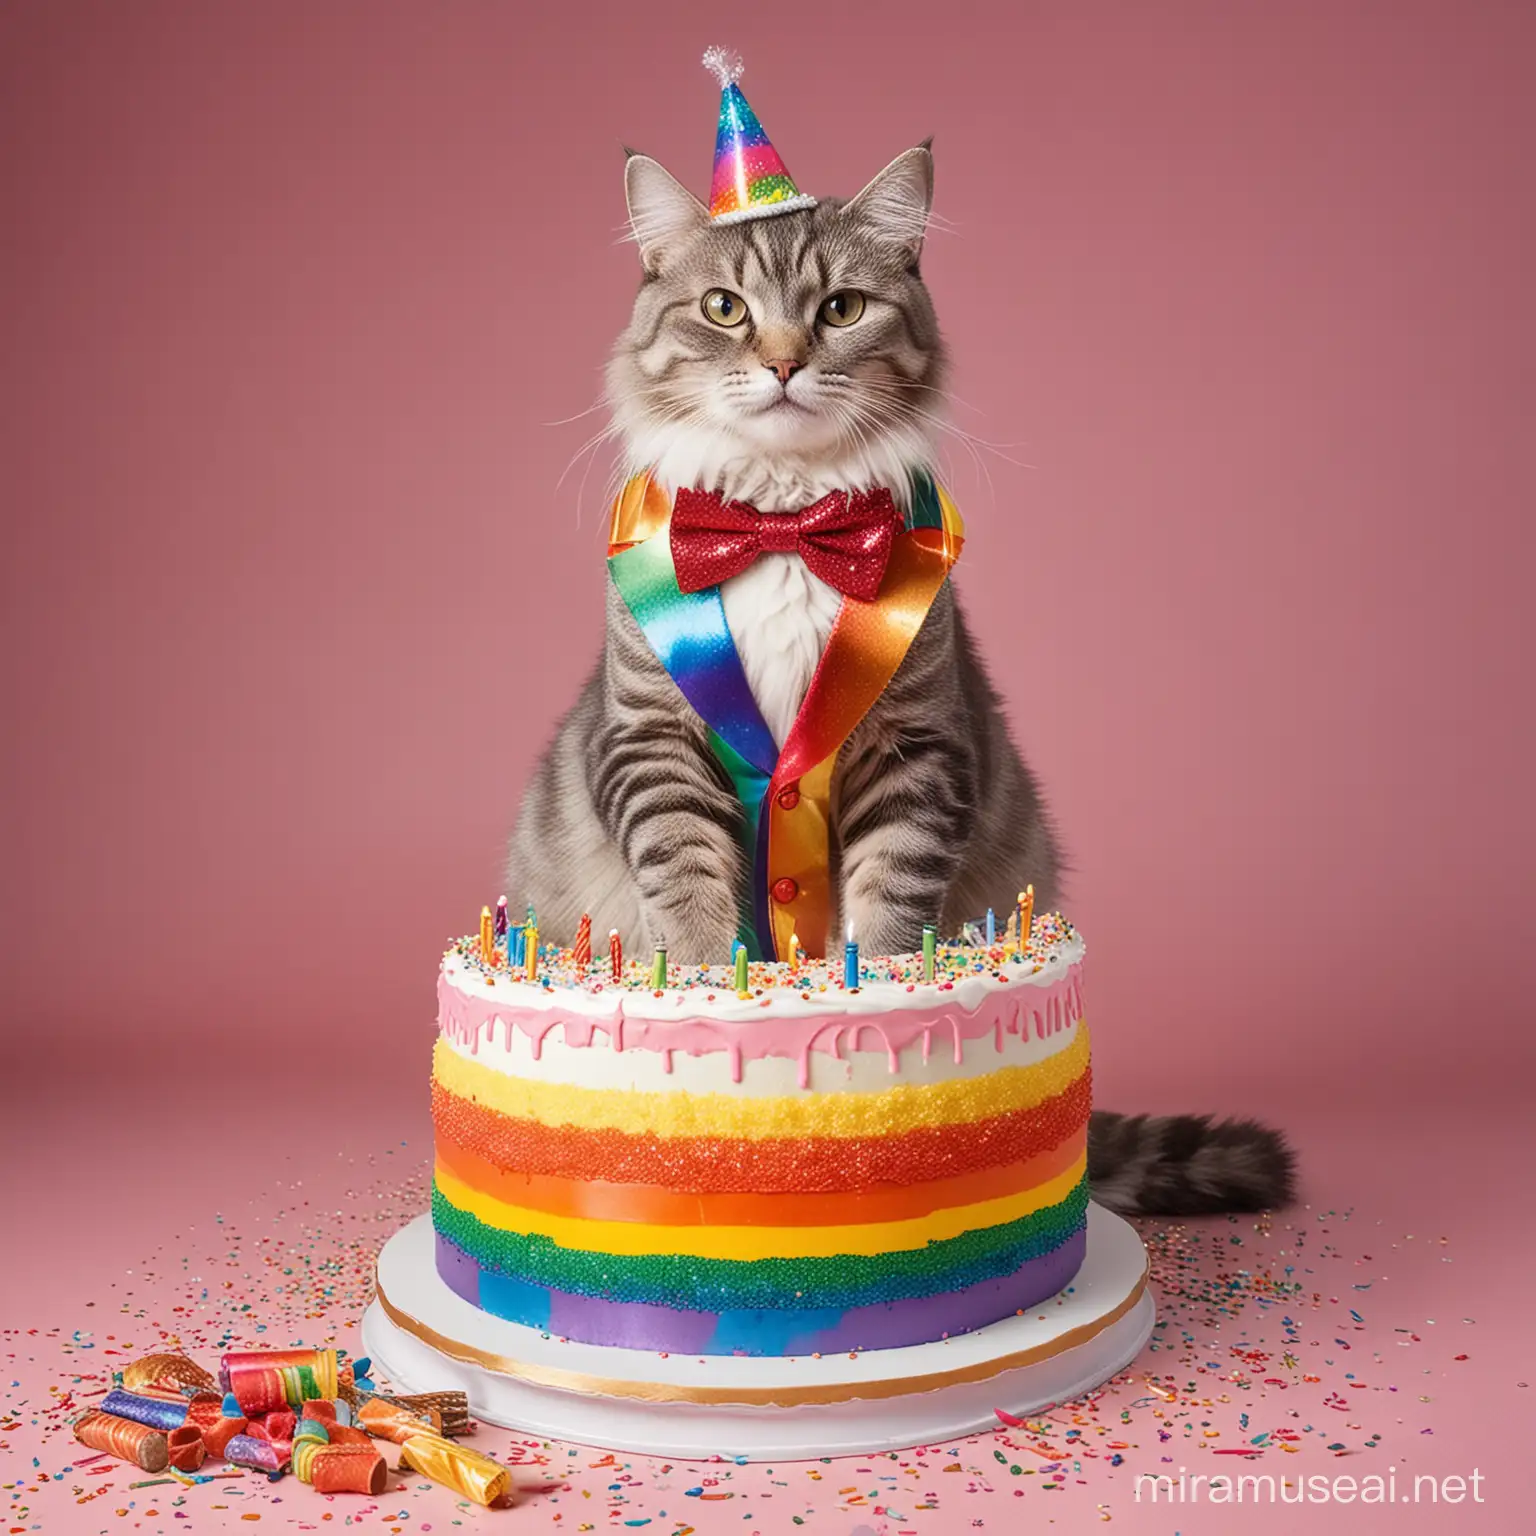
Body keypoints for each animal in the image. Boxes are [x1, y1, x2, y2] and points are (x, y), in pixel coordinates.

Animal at [506, 141, 1296, 1210]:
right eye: (723, 308)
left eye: (841, 308)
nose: (783, 362)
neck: (787, 525)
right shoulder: (650, 734)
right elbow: (688, 871)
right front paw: (707, 981)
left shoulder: (915, 742)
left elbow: (889, 897)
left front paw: (873, 998)